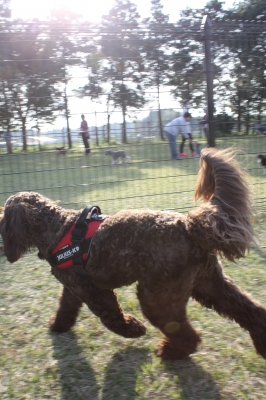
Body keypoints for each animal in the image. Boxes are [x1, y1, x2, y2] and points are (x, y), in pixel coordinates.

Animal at [0, 148, 266, 360]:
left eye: (2, 220)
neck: (57, 227)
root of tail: (188, 226)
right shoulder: (74, 286)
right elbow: (65, 307)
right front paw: (58, 326)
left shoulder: (94, 290)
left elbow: (111, 316)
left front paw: (133, 329)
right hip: (208, 284)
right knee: (250, 310)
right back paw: (261, 343)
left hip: (158, 296)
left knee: (185, 332)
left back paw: (171, 352)